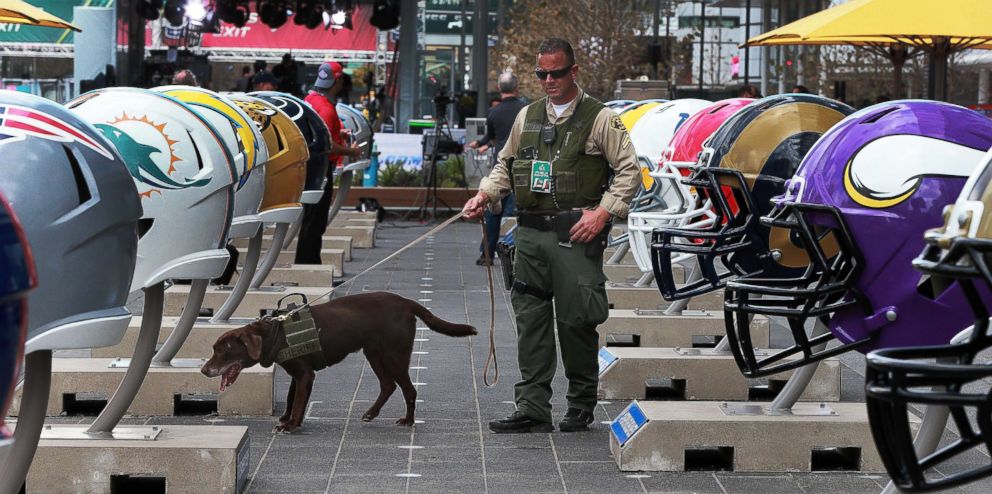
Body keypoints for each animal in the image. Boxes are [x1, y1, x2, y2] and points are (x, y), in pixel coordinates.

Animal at [200, 292, 474, 434]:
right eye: (213, 349)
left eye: (223, 351)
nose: (203, 370)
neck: (276, 334)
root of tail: (406, 302)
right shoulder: (298, 374)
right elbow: (291, 398)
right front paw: (289, 419)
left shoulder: (306, 375)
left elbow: (298, 402)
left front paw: (291, 425)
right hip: (374, 354)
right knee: (388, 386)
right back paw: (371, 413)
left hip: (395, 355)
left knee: (409, 389)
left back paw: (408, 420)